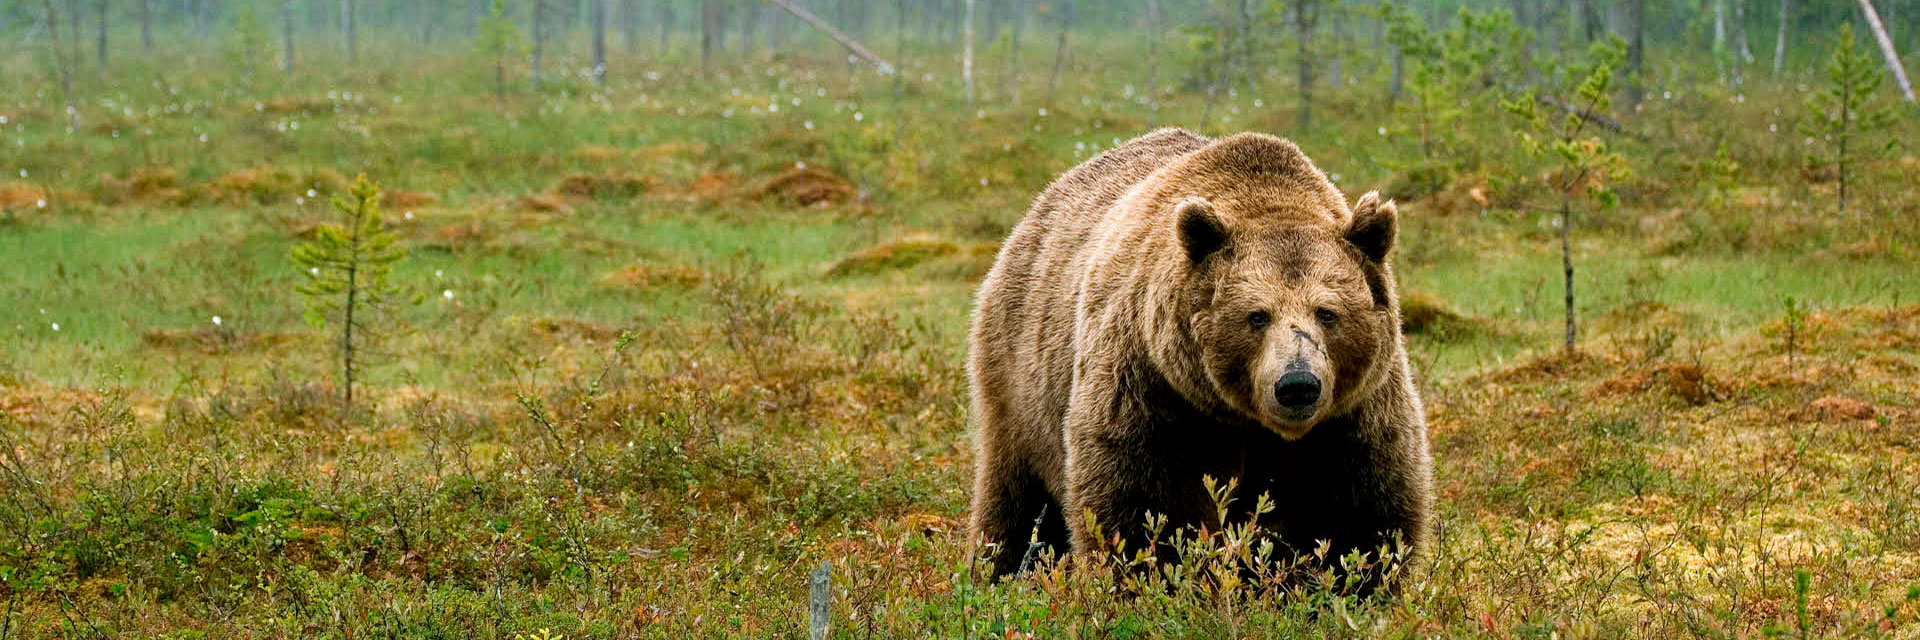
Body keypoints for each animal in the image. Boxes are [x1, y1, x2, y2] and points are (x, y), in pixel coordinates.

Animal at [967, 126, 1436, 584]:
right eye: (1256, 316)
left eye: (1327, 312)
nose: (1297, 384)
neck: (1247, 421)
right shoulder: (1154, 387)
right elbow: (1145, 507)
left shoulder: (1353, 412)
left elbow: (1356, 516)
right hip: (1021, 381)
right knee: (1018, 499)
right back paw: (1000, 570)